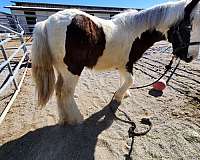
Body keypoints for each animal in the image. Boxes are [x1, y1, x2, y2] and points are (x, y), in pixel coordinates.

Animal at [31, 0, 200, 124]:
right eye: (188, 27)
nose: (191, 57)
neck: (136, 31)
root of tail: (46, 22)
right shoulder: (127, 63)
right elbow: (131, 80)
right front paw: (118, 96)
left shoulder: (122, 65)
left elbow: (123, 79)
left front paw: (124, 94)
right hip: (72, 69)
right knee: (66, 92)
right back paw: (77, 119)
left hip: (61, 69)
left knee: (58, 90)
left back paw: (63, 119)